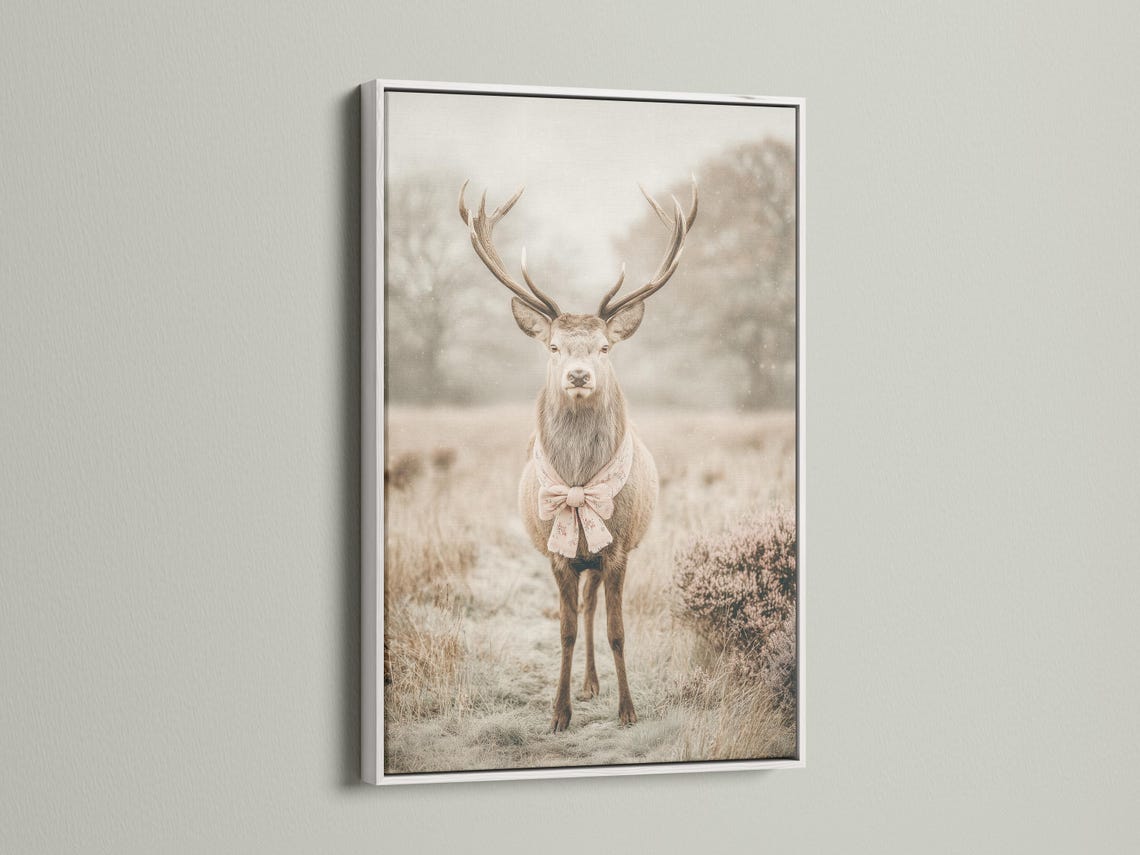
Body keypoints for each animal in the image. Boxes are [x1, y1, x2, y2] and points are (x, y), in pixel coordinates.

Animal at [458, 177, 698, 732]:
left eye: (605, 347)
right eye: (553, 346)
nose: (579, 374)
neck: (578, 483)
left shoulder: (619, 548)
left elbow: (618, 632)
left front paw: (627, 710)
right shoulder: (556, 553)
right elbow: (563, 631)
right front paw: (558, 713)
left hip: (601, 553)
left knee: (592, 612)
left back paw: (594, 683)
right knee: (581, 614)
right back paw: (585, 685)